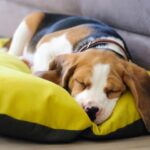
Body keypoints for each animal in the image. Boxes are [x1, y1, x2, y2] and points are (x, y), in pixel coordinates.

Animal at [8, 12, 150, 131]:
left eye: (113, 91)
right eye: (81, 83)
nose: (91, 110)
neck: (103, 45)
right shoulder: (47, 42)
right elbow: (43, 65)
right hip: (28, 22)